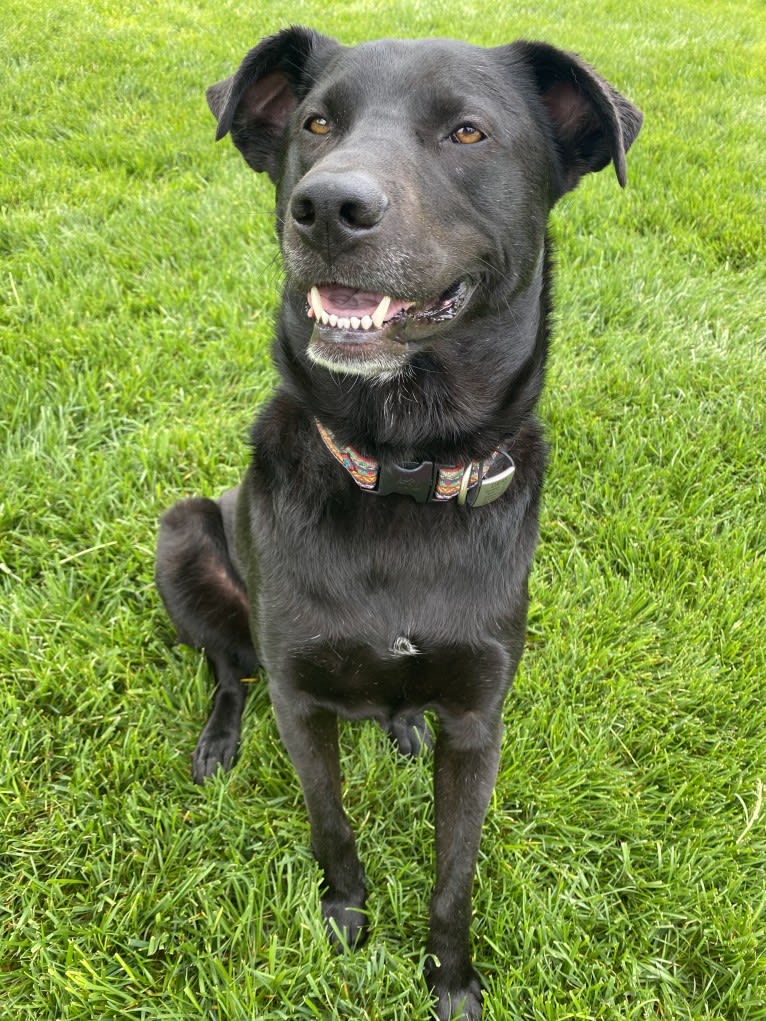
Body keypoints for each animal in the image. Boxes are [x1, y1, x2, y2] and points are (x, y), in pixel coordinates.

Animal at [159, 27, 645, 1016]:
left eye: (467, 132)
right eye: (315, 123)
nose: (326, 208)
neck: (401, 468)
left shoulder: (479, 720)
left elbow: (454, 873)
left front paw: (450, 979)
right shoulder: (299, 700)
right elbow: (331, 824)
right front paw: (345, 917)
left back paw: (400, 723)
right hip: (183, 536)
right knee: (229, 668)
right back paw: (220, 740)